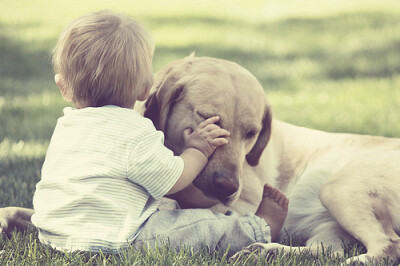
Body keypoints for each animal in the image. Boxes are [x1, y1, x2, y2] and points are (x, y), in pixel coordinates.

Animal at [140, 54, 400, 264]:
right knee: (326, 252)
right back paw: (266, 252)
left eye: (251, 133)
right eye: (207, 118)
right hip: (330, 222)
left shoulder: (242, 203)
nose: (227, 187)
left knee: (390, 245)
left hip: (339, 189)